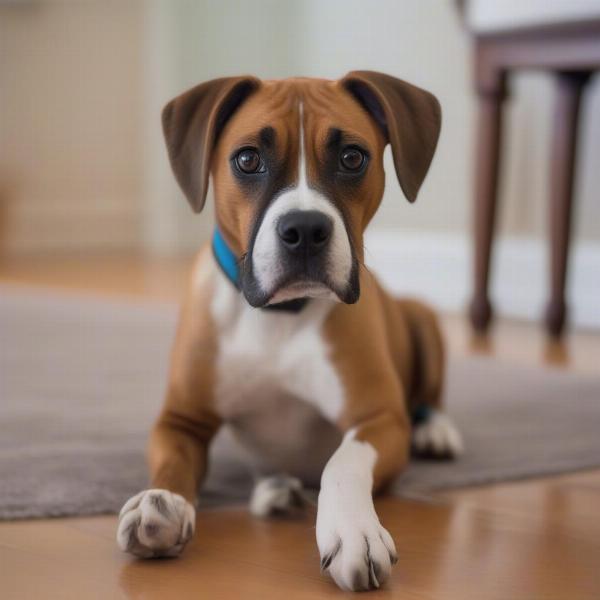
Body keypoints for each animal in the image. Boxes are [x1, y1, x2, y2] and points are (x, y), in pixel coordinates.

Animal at [117, 70, 464, 592]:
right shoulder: (180, 420)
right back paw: (276, 490)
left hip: (423, 317)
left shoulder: (380, 420)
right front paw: (161, 502)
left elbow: (342, 461)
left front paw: (352, 530)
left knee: (431, 395)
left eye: (352, 157)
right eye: (247, 159)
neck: (279, 318)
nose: (304, 229)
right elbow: (173, 460)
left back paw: (436, 431)